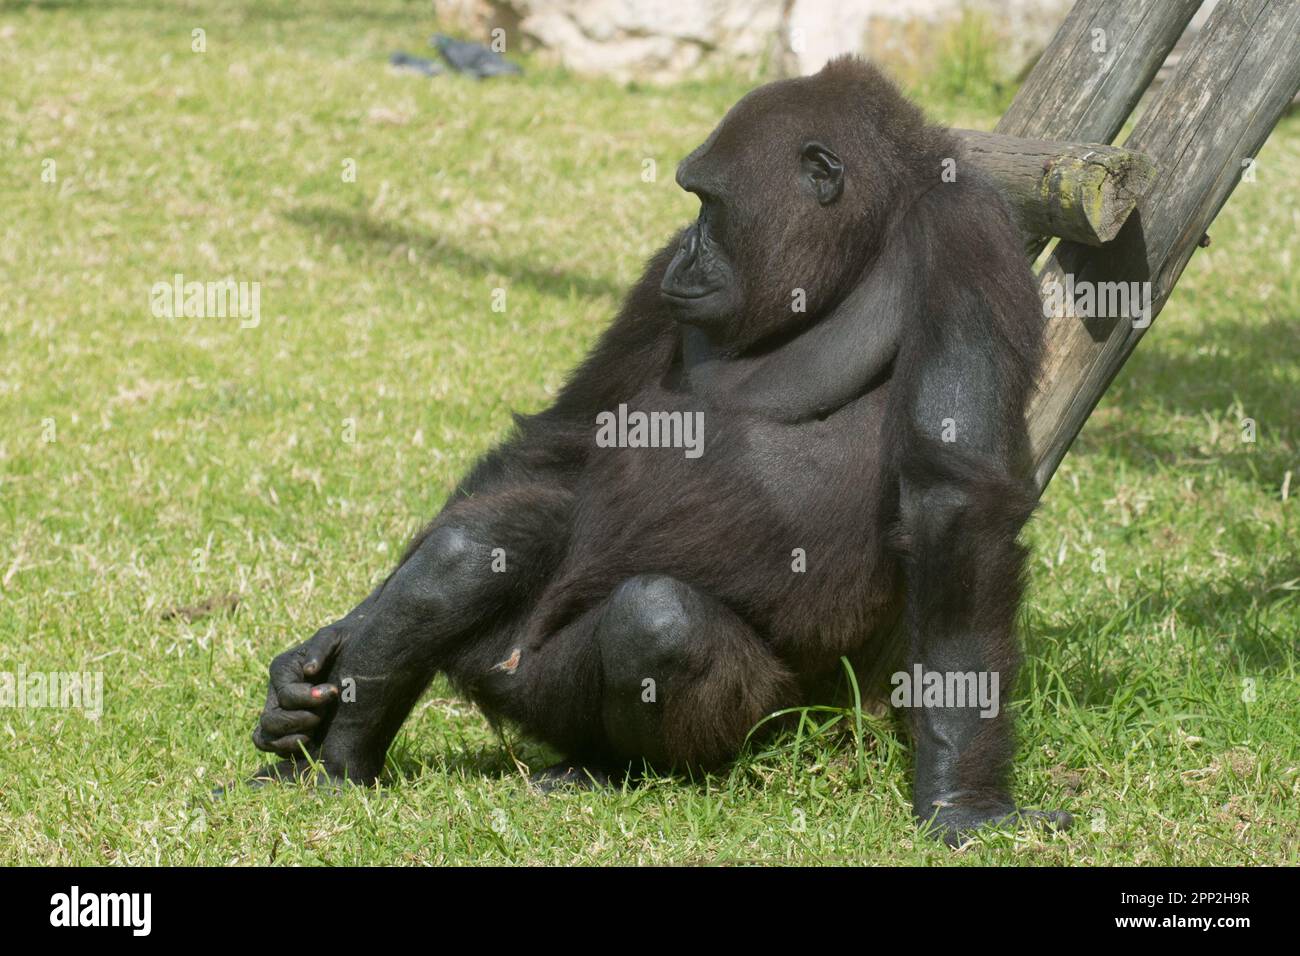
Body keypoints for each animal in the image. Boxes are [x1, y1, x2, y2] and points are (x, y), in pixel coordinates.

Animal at [248, 55, 1071, 842]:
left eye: (711, 203)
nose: (685, 252)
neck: (865, 243)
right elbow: (566, 435)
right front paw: (324, 651)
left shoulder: (966, 233)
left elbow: (953, 503)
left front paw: (961, 795)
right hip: (516, 676)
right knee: (481, 543)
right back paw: (349, 750)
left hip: (786, 723)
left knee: (655, 621)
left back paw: (615, 768)